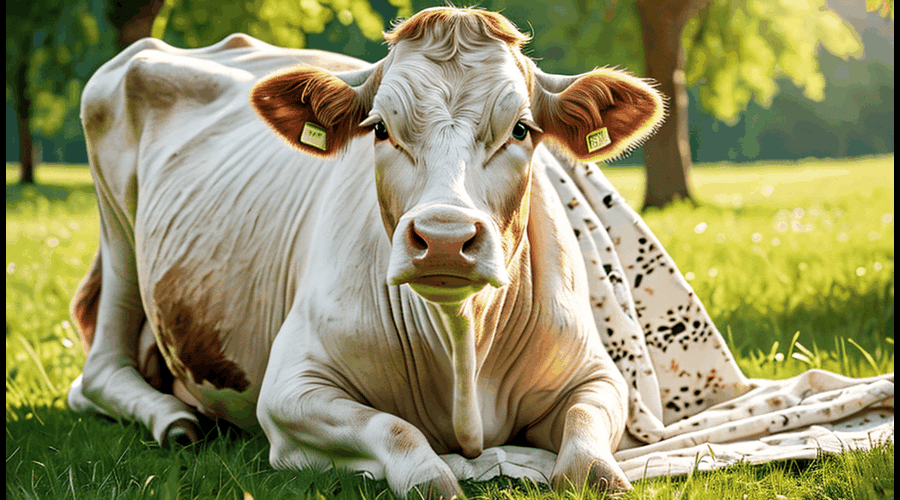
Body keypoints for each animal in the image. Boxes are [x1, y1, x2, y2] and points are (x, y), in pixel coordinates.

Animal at [68, 7, 664, 497]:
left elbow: (591, 466)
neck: (461, 348)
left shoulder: (597, 376)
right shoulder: (289, 389)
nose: (444, 238)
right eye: (379, 129)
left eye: (521, 129)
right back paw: (173, 420)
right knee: (100, 371)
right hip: (116, 230)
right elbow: (409, 449)